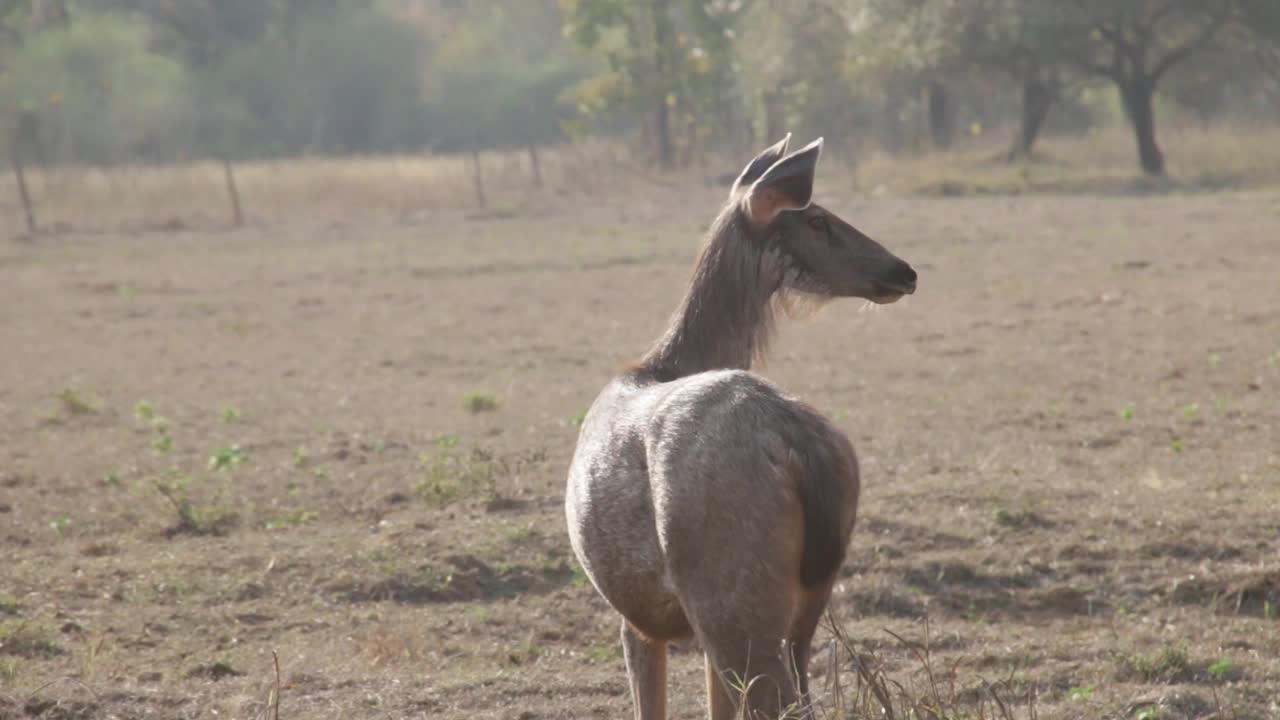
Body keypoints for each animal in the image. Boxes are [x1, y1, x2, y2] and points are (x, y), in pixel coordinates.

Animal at [565, 134, 916, 717]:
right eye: (817, 218)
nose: (904, 270)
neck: (660, 363)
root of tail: (799, 448)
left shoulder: (635, 616)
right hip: (805, 600)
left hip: (728, 590)